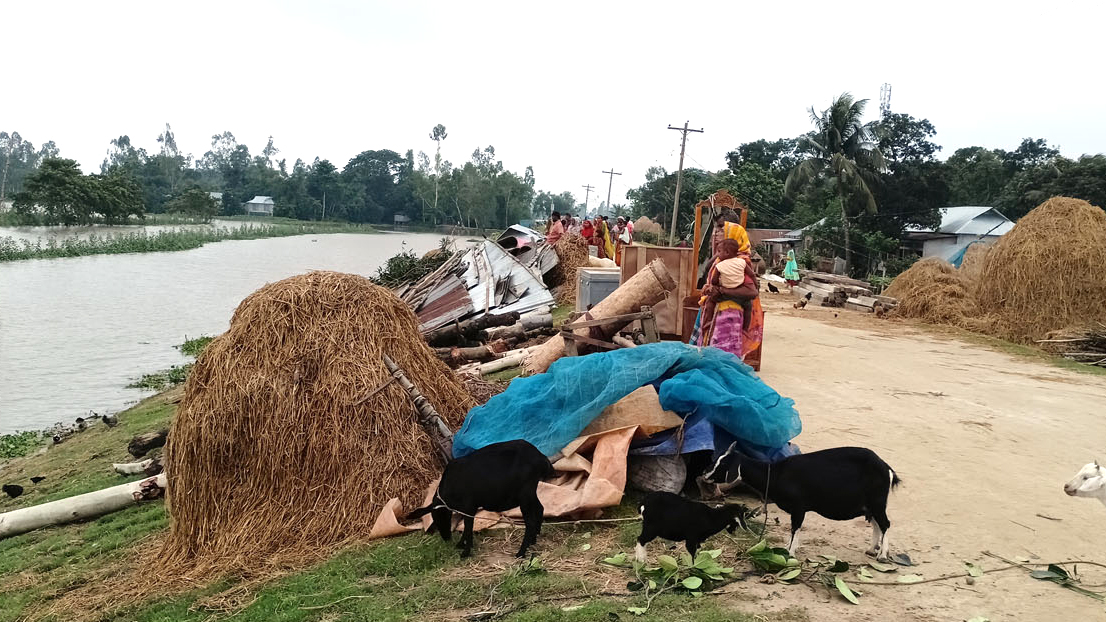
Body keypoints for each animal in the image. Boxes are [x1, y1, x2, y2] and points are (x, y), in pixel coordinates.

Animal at [407, 436, 553, 557]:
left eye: (440, 517)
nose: (446, 537)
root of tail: (542, 458)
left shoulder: (469, 507)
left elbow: (468, 528)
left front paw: (465, 552)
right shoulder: (467, 509)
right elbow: (467, 528)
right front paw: (461, 545)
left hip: (525, 494)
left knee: (530, 522)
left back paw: (521, 552)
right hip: (530, 493)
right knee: (540, 508)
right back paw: (534, 539)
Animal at [703, 442, 902, 560]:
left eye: (722, 464)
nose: (704, 474)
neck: (775, 474)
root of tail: (887, 469)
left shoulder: (799, 507)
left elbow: (795, 528)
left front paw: (789, 552)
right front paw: (788, 547)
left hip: (877, 502)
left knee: (885, 524)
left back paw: (882, 555)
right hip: (871, 505)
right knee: (877, 524)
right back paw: (872, 549)